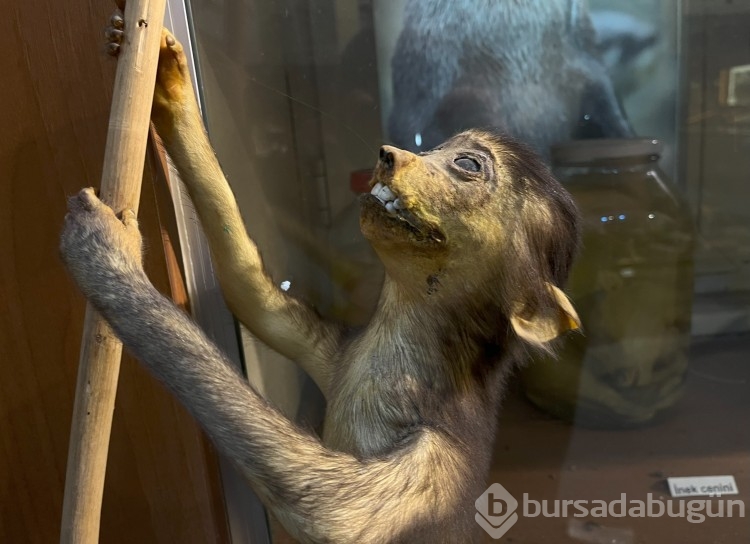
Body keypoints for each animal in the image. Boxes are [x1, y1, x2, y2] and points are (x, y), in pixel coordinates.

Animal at [61, 17, 584, 544]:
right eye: (435, 147)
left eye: (468, 164)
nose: (389, 154)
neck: (400, 353)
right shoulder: (337, 352)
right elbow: (251, 295)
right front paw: (165, 75)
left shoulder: (437, 457)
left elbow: (326, 512)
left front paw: (105, 250)